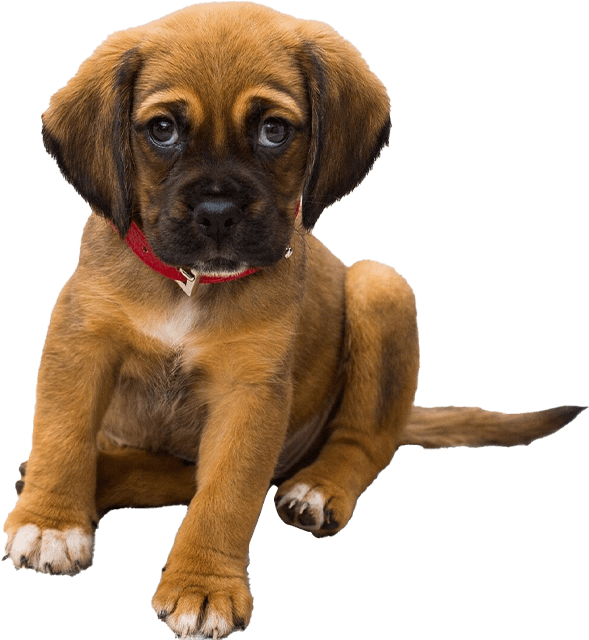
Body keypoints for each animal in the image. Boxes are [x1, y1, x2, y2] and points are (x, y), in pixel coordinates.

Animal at [2, 2, 584, 636]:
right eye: (162, 130)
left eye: (273, 131)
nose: (217, 213)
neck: (189, 286)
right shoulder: (79, 343)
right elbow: (62, 434)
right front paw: (52, 521)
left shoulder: (250, 393)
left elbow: (226, 496)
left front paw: (203, 585)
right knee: (175, 473)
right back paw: (84, 478)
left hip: (381, 286)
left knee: (363, 443)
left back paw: (319, 488)